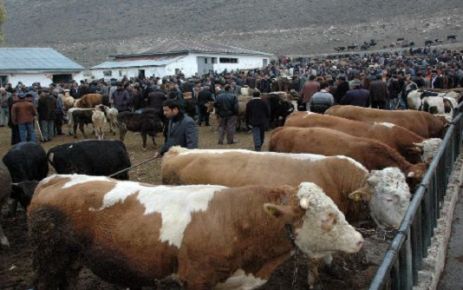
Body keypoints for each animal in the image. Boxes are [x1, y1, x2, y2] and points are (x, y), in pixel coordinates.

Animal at [29, 174, 366, 290]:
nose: (360, 239)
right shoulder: (195, 279)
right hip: (49, 262)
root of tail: (55, 178)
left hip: (70, 263)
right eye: (328, 218)